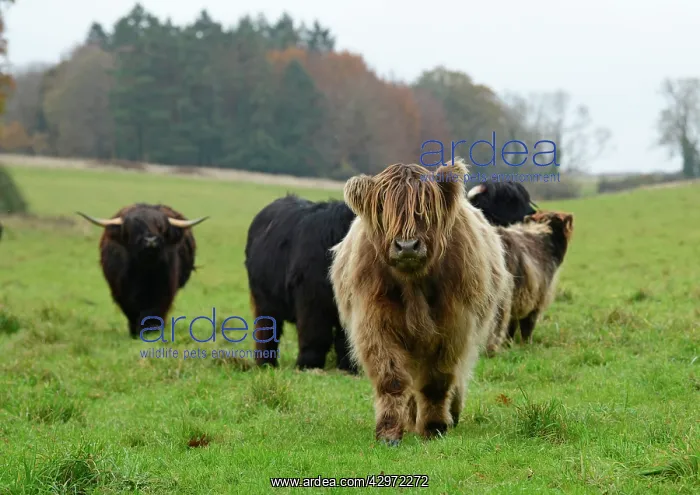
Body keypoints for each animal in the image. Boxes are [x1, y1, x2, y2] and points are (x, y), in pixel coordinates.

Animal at [77, 203, 208, 338]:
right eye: (132, 229)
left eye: (161, 227)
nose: (151, 241)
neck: (145, 271)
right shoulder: (123, 292)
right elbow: (132, 311)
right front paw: (135, 332)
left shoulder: (165, 290)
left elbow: (156, 310)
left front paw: (152, 331)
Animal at [244, 195, 358, 373]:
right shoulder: (312, 301)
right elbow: (315, 336)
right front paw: (308, 365)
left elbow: (345, 340)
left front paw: (348, 368)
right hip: (264, 302)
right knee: (267, 331)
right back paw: (266, 364)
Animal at [329, 159, 513, 445]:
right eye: (382, 208)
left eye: (426, 208)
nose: (407, 246)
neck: (412, 283)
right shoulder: (375, 322)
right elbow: (391, 379)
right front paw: (389, 432)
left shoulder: (453, 325)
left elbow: (437, 379)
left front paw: (435, 426)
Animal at [486, 210, 574, 354]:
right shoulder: (535, 299)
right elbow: (527, 325)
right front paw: (527, 345)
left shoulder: (518, 300)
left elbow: (512, 326)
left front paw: (510, 345)